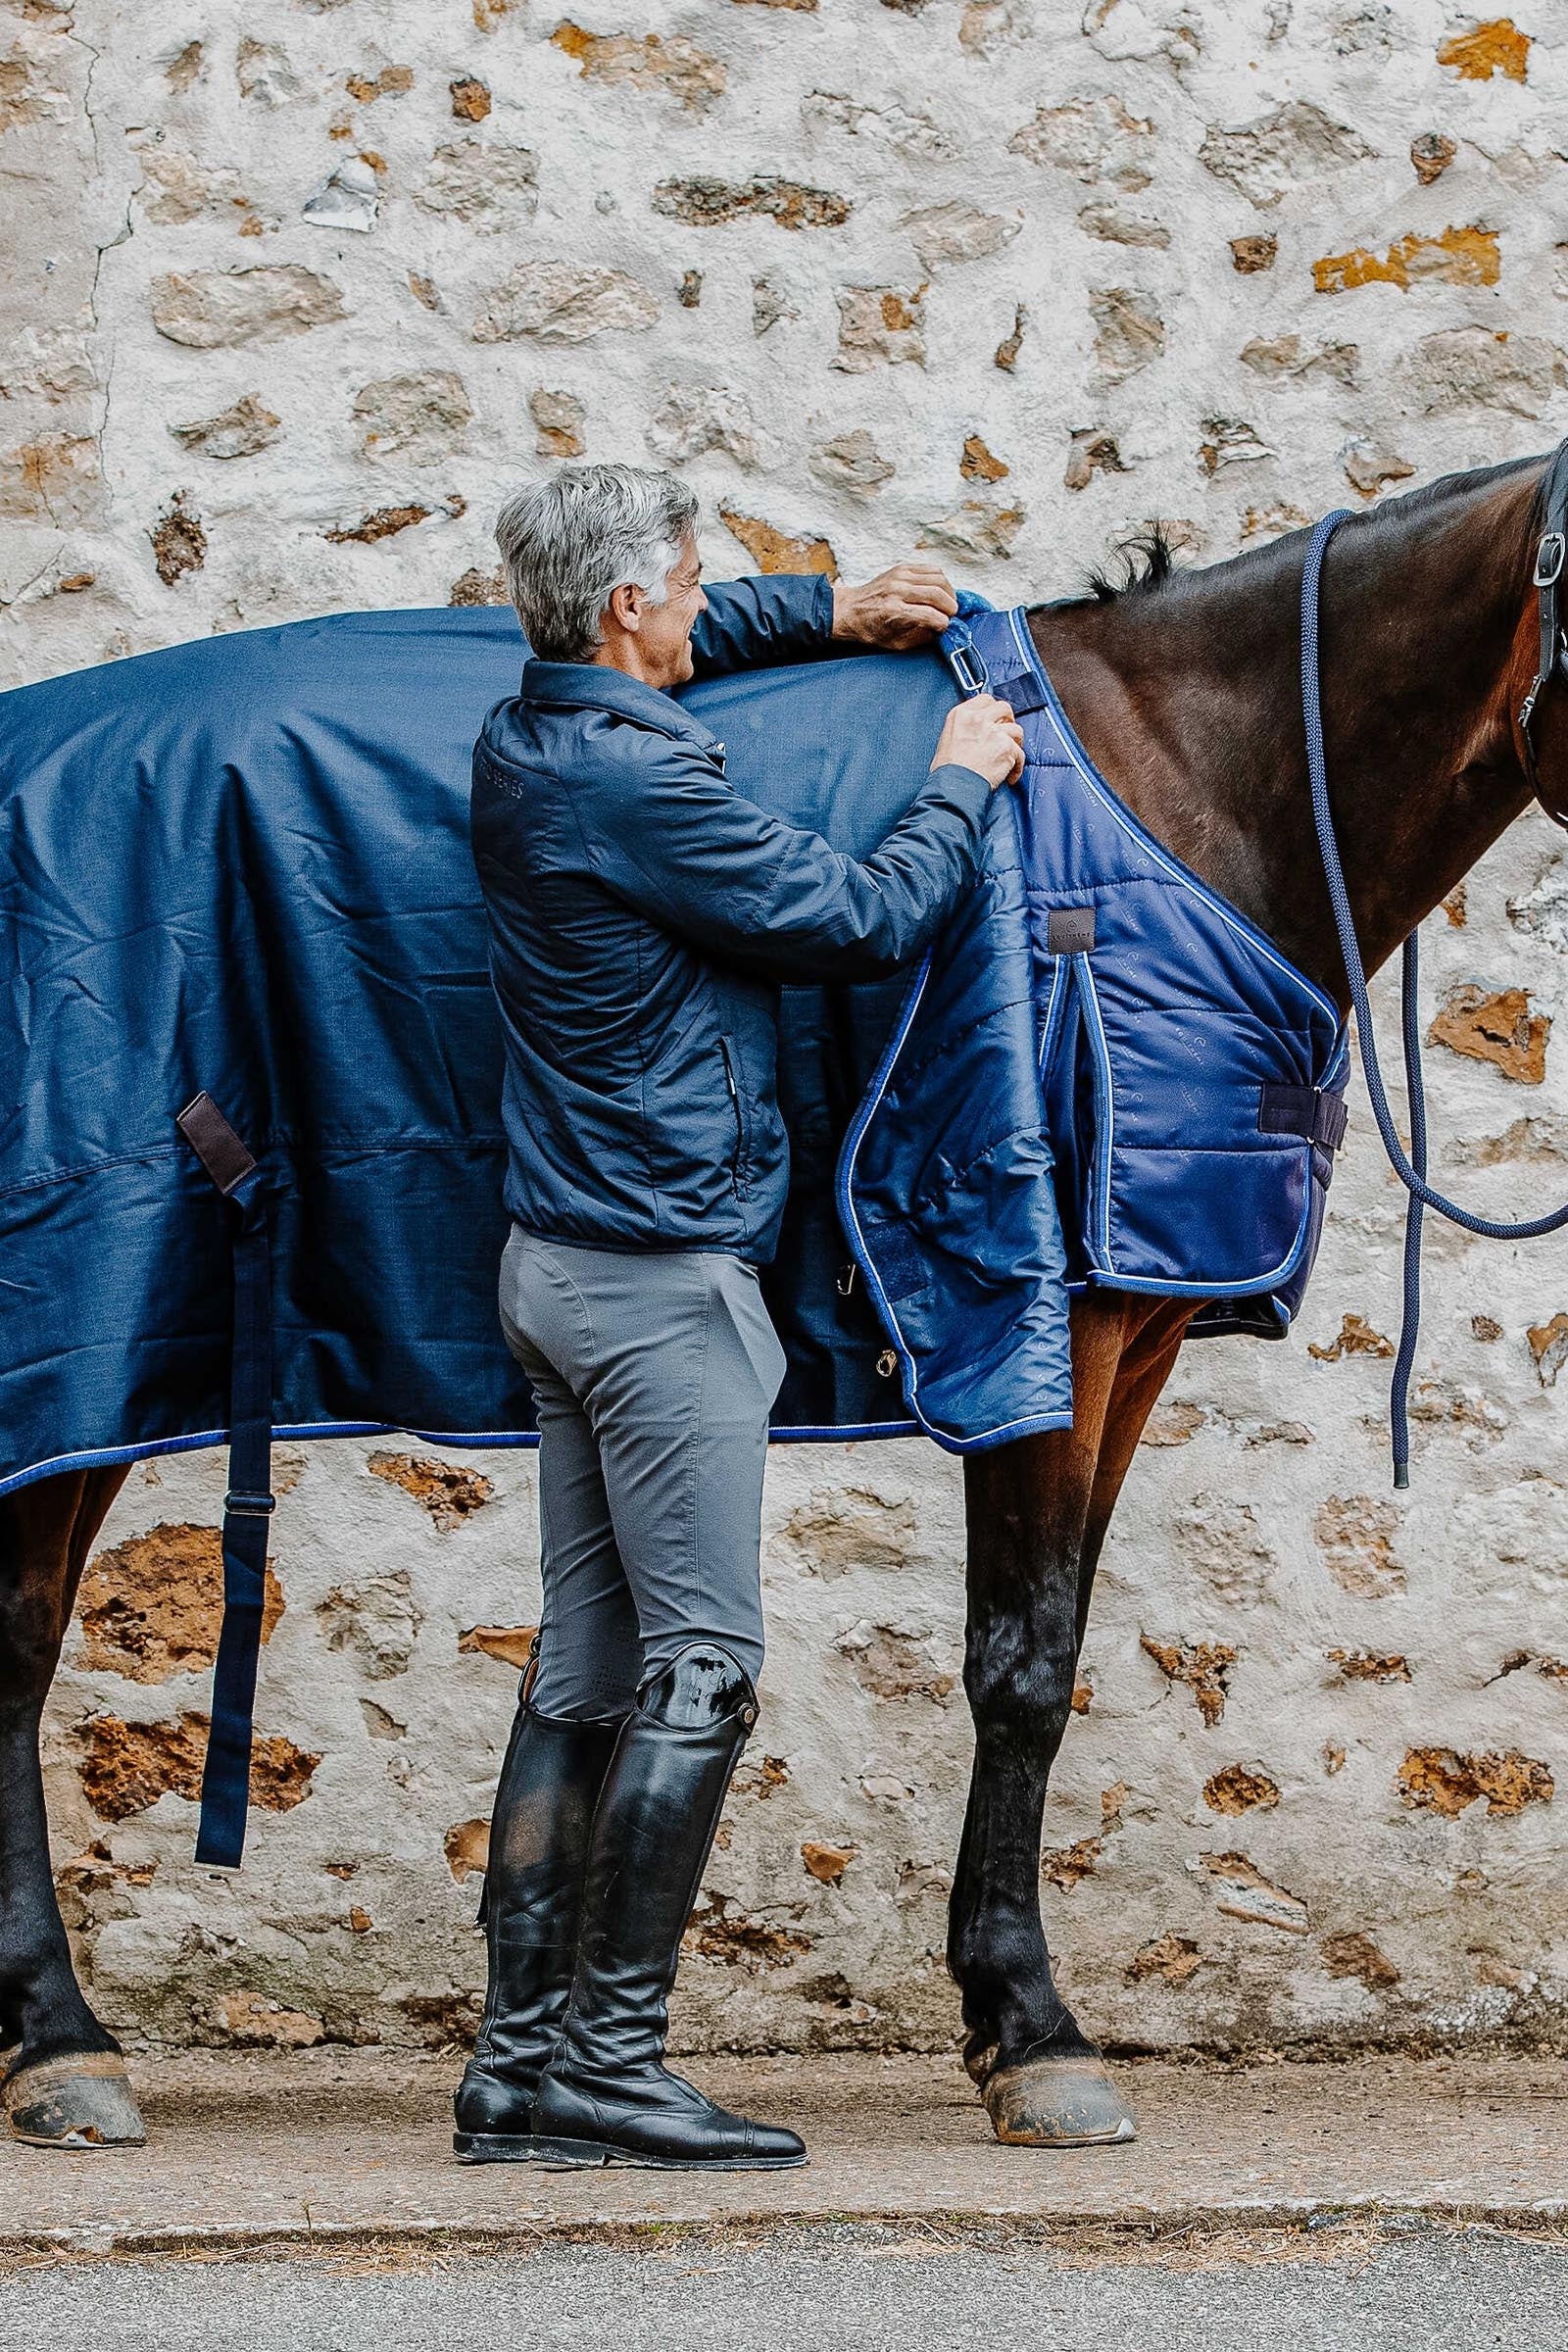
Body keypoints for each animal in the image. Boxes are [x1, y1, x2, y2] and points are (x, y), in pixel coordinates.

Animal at [2, 441, 1563, 2152]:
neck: (1191, 789)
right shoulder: (1042, 1323)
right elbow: (1020, 1666)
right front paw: (1035, 2034)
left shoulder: (1135, 1331)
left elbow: (1057, 1642)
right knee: (14, 1657)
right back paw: (64, 2048)